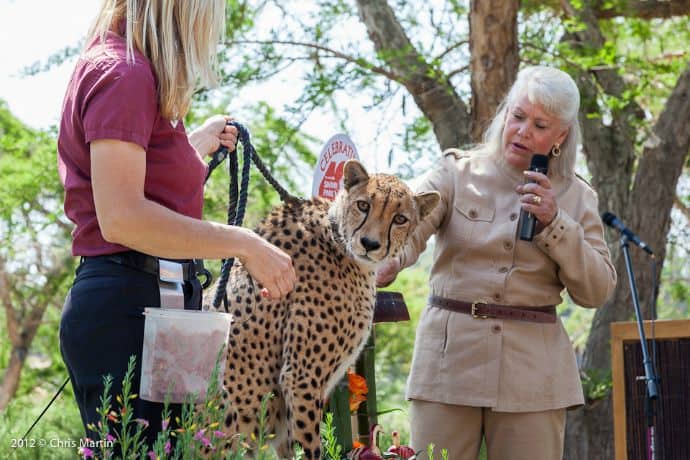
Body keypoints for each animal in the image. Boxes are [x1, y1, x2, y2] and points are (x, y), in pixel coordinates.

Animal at [207, 160, 438, 458]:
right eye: (363, 205)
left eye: (400, 219)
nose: (370, 244)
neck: (339, 240)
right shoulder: (301, 377)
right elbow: (310, 446)